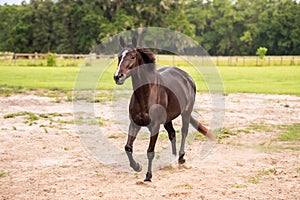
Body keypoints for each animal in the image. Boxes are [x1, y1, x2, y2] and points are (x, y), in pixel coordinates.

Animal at [113, 36, 214, 182]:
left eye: (132, 56)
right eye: (119, 56)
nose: (117, 77)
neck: (145, 95)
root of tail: (186, 77)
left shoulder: (155, 126)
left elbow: (150, 151)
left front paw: (148, 176)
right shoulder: (135, 124)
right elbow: (128, 147)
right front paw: (137, 167)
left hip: (186, 113)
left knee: (184, 132)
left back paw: (181, 158)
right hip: (168, 119)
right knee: (172, 134)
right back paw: (172, 160)